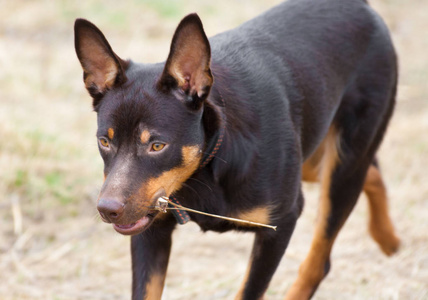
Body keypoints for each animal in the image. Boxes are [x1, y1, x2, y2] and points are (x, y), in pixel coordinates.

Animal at [74, 0, 402, 298]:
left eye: (157, 145)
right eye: (105, 142)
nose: (107, 210)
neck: (209, 164)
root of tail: (358, 5)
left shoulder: (279, 226)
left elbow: (249, 291)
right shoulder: (151, 230)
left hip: (343, 164)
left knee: (319, 260)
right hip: (317, 154)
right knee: (371, 172)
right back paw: (388, 239)